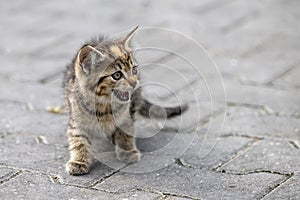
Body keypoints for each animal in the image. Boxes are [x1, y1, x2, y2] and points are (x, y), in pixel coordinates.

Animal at [63, 26, 186, 175]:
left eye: (134, 70)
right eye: (117, 75)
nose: (134, 83)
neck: (104, 105)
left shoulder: (127, 114)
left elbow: (125, 131)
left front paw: (127, 151)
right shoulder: (77, 119)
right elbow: (78, 140)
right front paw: (79, 161)